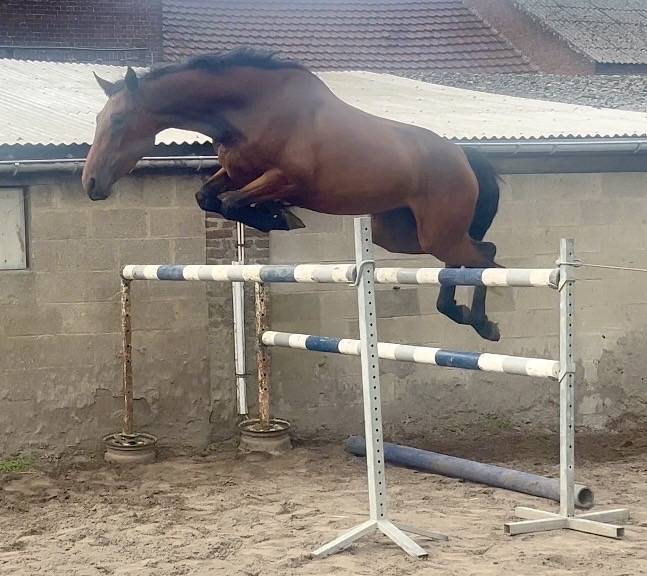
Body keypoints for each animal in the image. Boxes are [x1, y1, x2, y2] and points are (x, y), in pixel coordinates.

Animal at [82, 49, 502, 341]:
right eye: (99, 119)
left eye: (118, 120)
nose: (90, 184)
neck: (249, 111)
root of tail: (462, 155)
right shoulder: (236, 173)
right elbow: (208, 198)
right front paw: (274, 215)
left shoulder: (287, 179)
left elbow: (232, 202)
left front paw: (279, 216)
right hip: (402, 235)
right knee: (473, 256)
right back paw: (458, 311)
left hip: (436, 233)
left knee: (487, 260)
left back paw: (482, 323)